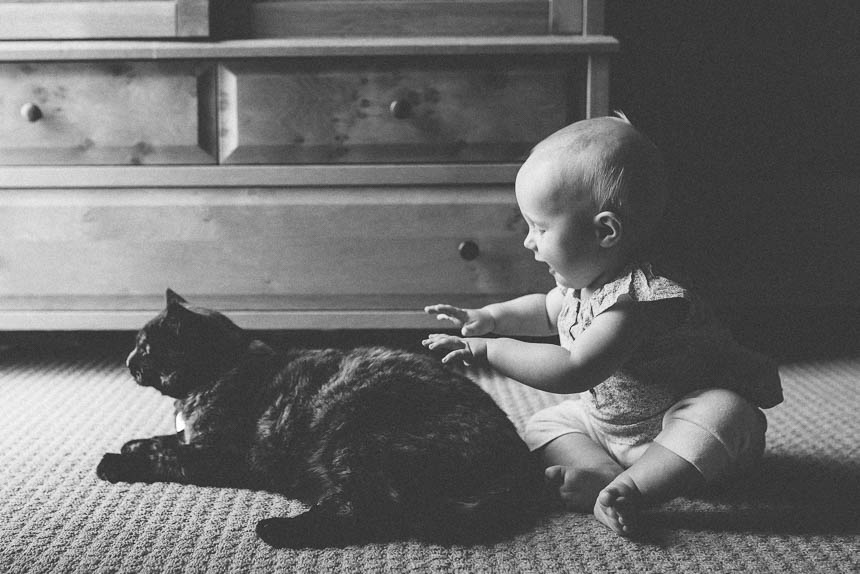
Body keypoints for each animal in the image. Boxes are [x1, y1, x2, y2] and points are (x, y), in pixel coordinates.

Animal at [97, 292, 540, 548]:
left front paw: (115, 461)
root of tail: (520, 457)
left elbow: (167, 457)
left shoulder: (217, 455)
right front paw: (132, 444)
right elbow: (162, 441)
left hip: (356, 442)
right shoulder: (192, 438)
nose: (128, 361)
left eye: (146, 346)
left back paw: (276, 529)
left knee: (369, 512)